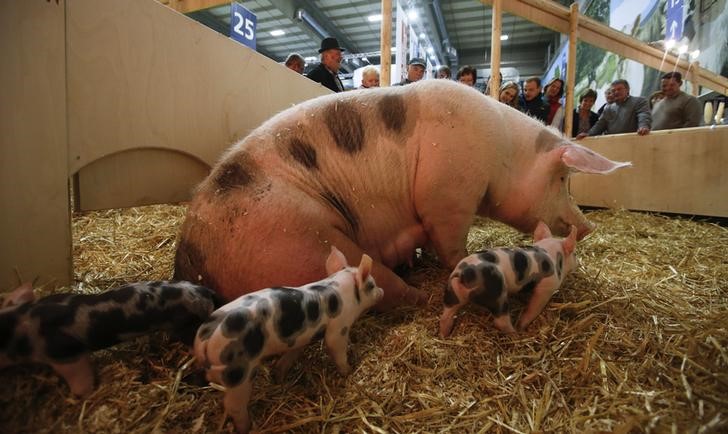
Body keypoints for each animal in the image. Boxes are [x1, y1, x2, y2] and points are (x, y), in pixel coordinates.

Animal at [176, 78, 632, 308]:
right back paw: (418, 295)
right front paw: (455, 263)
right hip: (298, 240)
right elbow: (451, 244)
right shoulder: (447, 194)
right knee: (382, 286)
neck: (504, 152)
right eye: (563, 179)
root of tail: (191, 262)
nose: (587, 226)